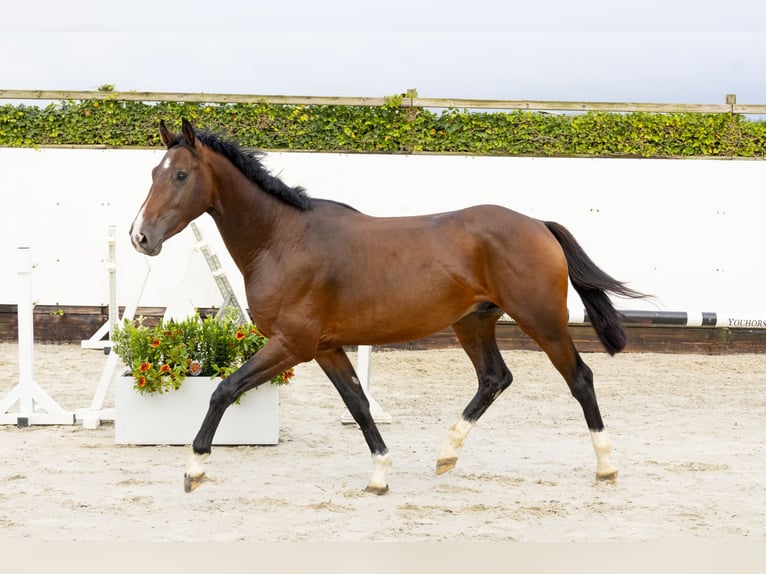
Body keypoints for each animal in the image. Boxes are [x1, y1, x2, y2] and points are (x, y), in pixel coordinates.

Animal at [129, 120, 644, 496]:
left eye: (180, 174)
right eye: (153, 173)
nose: (140, 237)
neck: (282, 239)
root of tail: (537, 224)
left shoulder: (292, 344)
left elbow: (224, 390)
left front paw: (194, 469)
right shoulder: (324, 347)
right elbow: (357, 403)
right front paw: (380, 473)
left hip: (542, 320)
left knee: (579, 378)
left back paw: (606, 466)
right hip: (473, 323)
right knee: (495, 378)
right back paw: (446, 455)